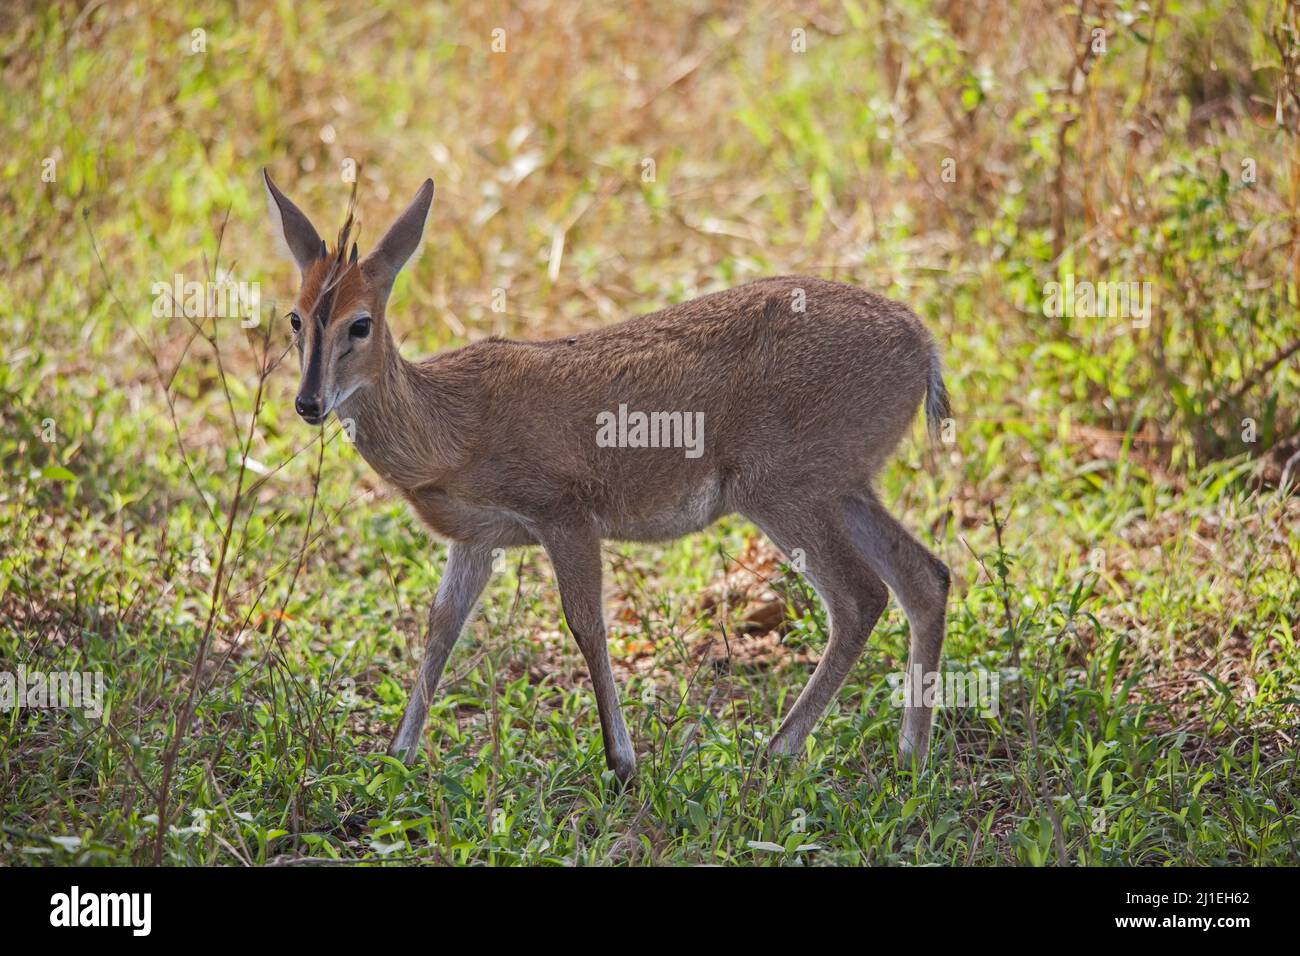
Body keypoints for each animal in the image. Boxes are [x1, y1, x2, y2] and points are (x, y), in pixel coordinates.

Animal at [266, 171, 956, 785]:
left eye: (360, 323)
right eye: (295, 318)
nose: (309, 403)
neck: (450, 430)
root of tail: (925, 345)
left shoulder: (565, 515)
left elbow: (585, 623)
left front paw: (622, 763)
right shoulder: (477, 539)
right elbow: (441, 626)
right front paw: (397, 754)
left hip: (782, 489)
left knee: (860, 596)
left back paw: (775, 753)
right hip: (845, 486)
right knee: (926, 576)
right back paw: (910, 760)